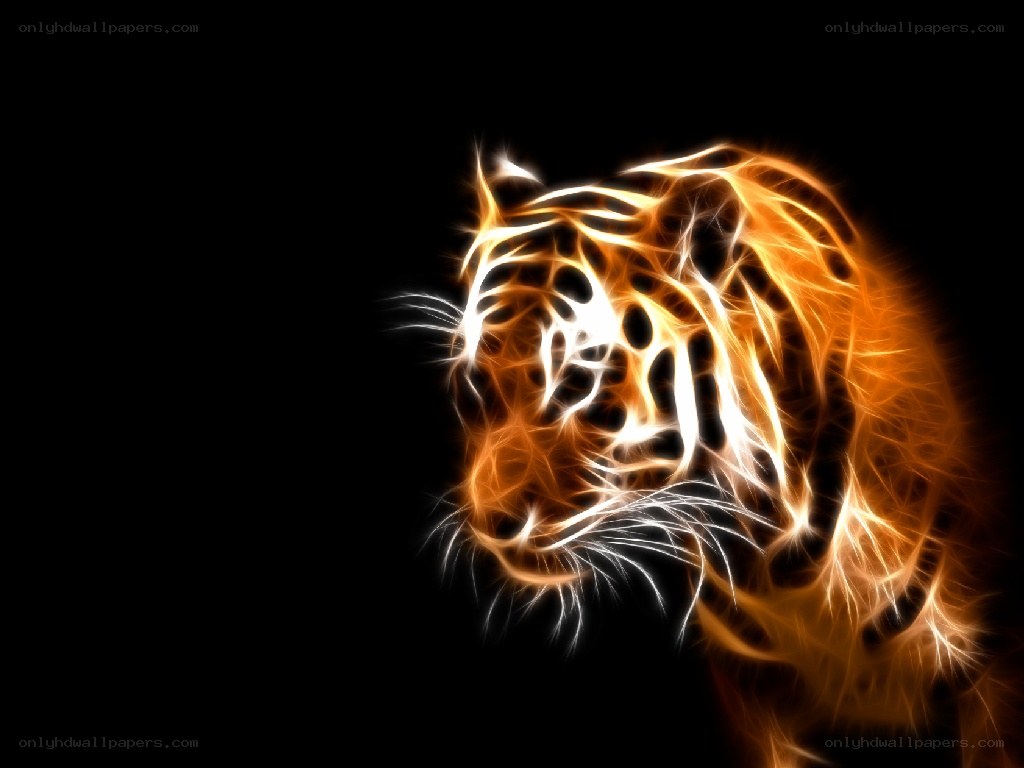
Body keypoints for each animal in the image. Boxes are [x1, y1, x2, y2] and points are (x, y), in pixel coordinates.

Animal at [406, 145, 1016, 767]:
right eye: (475, 384)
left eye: (578, 384)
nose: (492, 524)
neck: (775, 555)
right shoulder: (753, 696)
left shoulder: (994, 673)